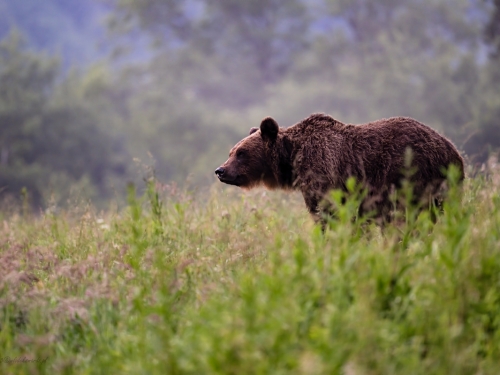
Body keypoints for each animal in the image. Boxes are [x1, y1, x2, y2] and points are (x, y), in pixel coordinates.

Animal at [215, 114, 464, 226]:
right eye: (231, 151)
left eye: (241, 153)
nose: (220, 170)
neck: (293, 159)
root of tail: (453, 151)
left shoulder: (325, 175)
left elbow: (328, 216)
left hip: (414, 177)